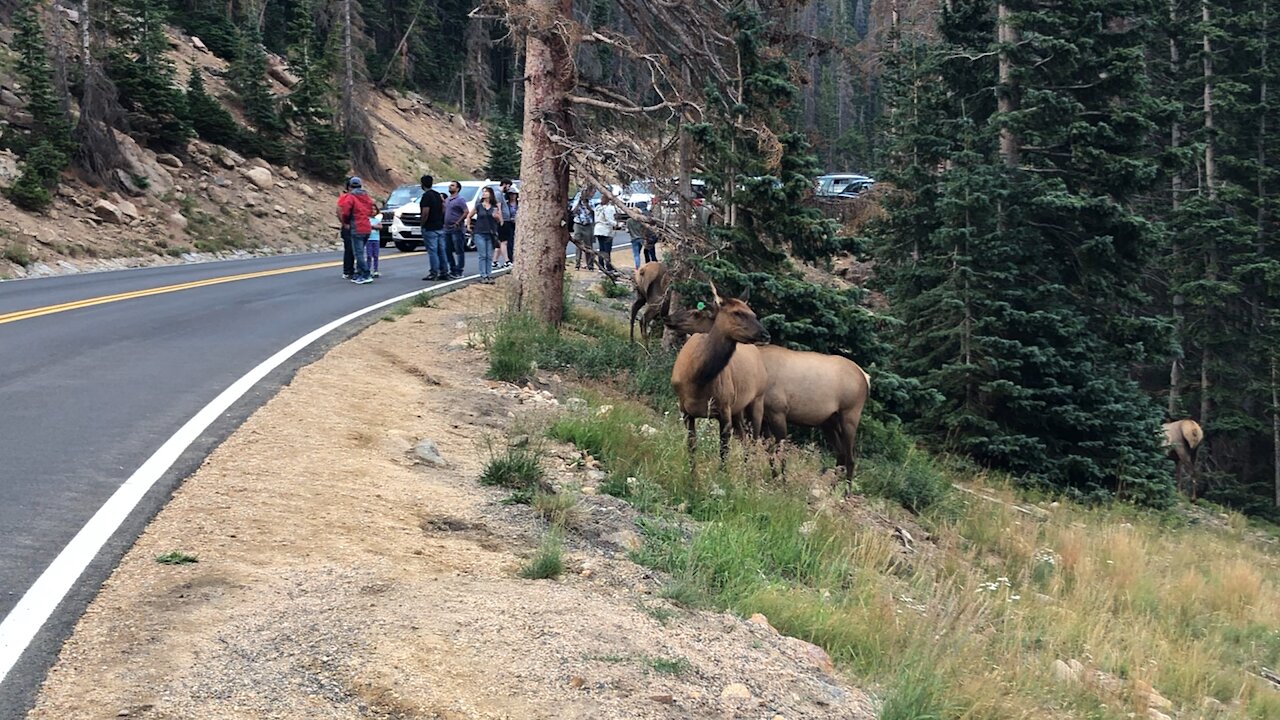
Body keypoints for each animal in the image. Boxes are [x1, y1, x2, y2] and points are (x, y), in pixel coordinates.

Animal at [670, 280, 768, 471]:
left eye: (754, 314)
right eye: (737, 312)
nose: (766, 334)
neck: (698, 380)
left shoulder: (724, 410)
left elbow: (723, 452)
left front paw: (721, 476)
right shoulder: (685, 410)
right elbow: (692, 447)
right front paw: (692, 475)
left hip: (756, 401)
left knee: (752, 442)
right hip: (738, 409)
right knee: (745, 439)